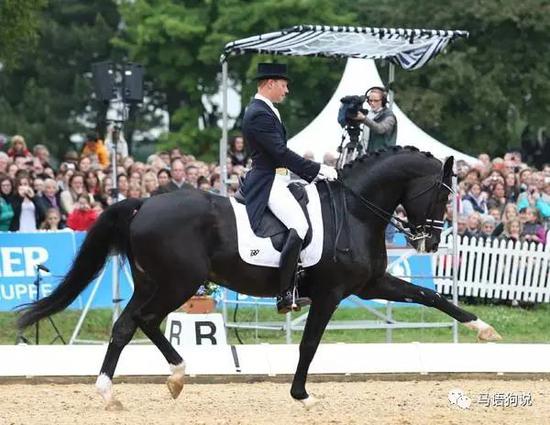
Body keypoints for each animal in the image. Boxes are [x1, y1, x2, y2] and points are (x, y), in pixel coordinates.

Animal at [17, 146, 502, 408]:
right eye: (442, 193)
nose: (431, 242)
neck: (356, 209)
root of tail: (144, 203)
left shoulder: (370, 285)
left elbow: (429, 296)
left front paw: (485, 330)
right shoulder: (332, 293)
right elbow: (309, 343)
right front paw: (302, 394)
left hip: (158, 283)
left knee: (135, 323)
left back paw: (169, 378)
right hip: (177, 283)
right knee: (134, 322)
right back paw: (116, 389)